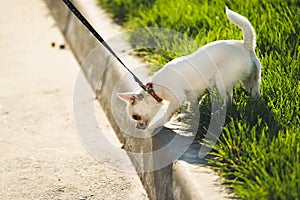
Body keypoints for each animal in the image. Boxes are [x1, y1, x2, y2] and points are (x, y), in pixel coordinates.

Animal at [118, 7, 262, 130]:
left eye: (135, 117)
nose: (137, 127)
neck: (155, 89)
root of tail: (245, 45)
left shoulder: (177, 98)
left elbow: (168, 114)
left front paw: (158, 124)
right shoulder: (195, 93)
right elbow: (193, 105)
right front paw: (188, 115)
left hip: (222, 82)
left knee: (229, 101)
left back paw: (220, 113)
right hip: (252, 80)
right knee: (255, 94)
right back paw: (256, 103)